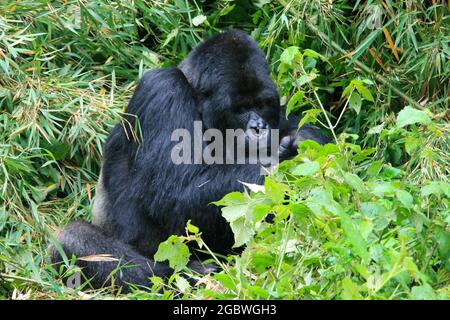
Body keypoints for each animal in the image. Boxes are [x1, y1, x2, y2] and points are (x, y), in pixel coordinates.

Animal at [50, 30, 330, 290]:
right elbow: (176, 194)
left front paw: (303, 144)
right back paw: (188, 276)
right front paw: (285, 161)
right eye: (240, 109)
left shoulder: (278, 113)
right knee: (72, 241)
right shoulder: (163, 90)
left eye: (261, 104)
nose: (259, 128)